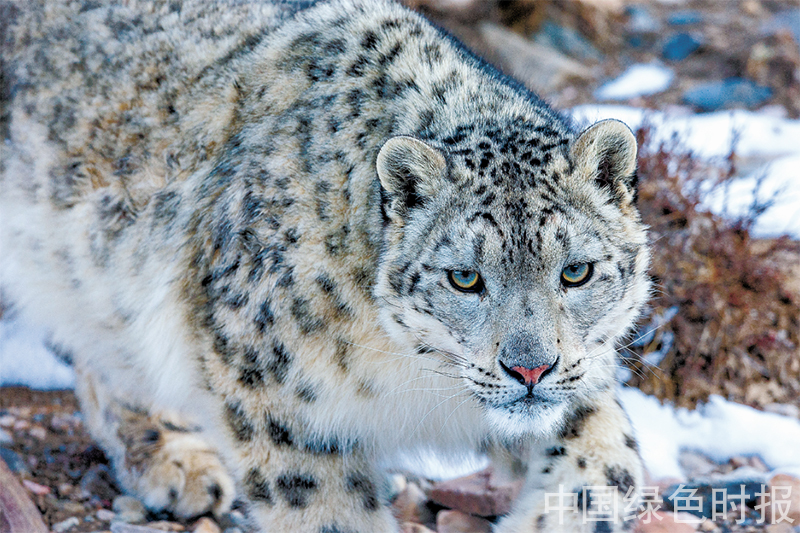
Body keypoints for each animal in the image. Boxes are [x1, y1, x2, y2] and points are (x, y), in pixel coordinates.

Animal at [0, 0, 648, 528]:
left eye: (576, 272)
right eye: (465, 278)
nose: (530, 370)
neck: (411, 379)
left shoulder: (583, 380)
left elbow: (611, 464)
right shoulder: (273, 399)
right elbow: (324, 508)